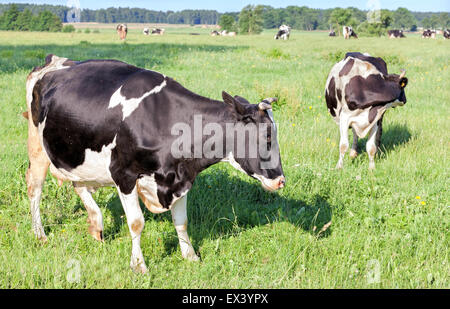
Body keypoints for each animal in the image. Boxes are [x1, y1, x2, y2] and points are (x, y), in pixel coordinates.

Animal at [24, 54, 284, 272]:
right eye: (268, 136)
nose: (281, 181)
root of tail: (53, 61)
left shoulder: (181, 177)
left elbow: (182, 221)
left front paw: (190, 256)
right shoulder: (124, 174)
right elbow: (136, 223)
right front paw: (139, 265)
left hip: (75, 153)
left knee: (78, 184)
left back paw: (96, 225)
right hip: (37, 146)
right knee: (34, 187)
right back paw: (39, 234)